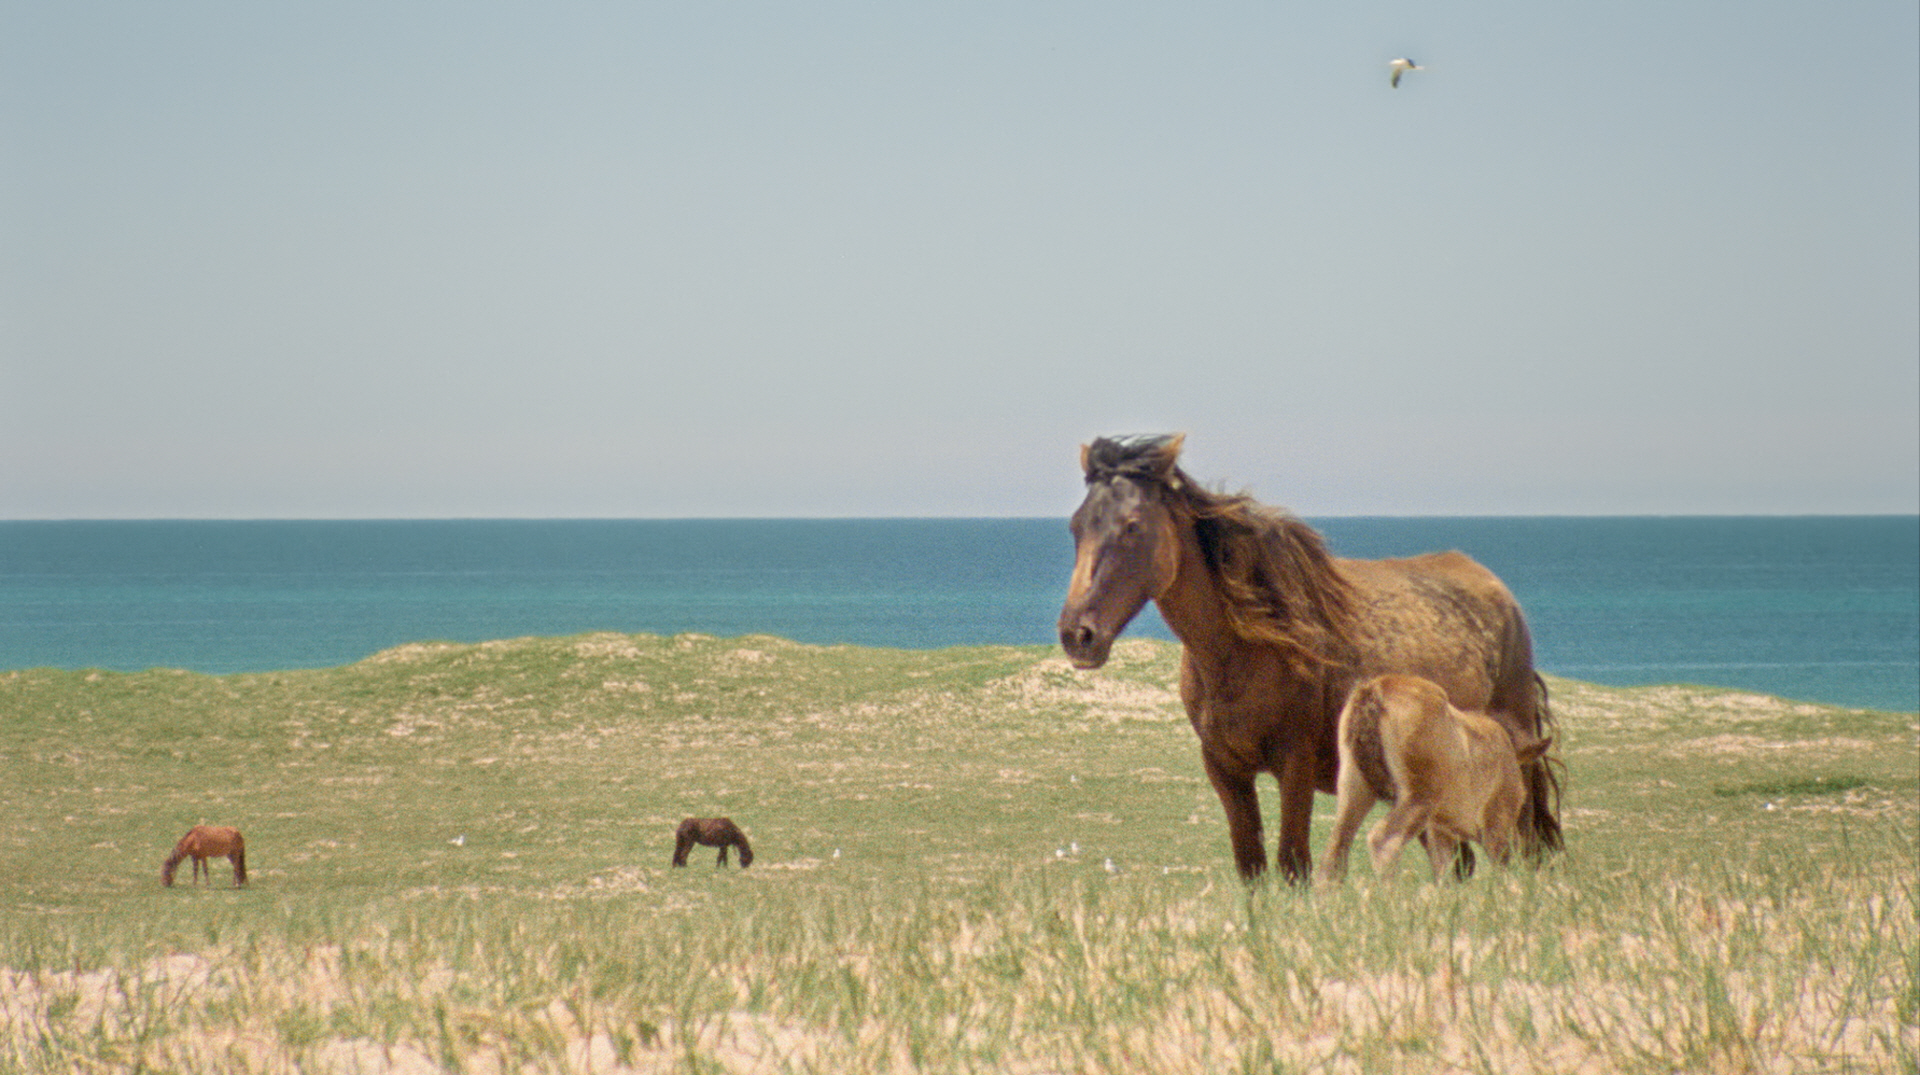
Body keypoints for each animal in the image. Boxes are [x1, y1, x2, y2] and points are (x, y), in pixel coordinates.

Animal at [1313, 675, 1551, 886]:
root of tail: (1372, 691)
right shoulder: (1496, 823)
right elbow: (1499, 870)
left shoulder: (1440, 829)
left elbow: (1444, 872)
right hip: (1419, 796)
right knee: (1383, 840)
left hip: (1354, 786)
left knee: (1334, 851)